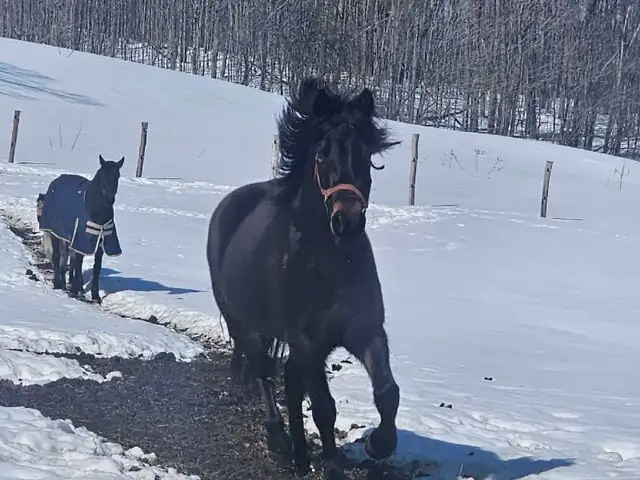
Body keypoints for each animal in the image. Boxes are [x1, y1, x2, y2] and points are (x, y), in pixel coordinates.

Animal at [37, 155, 124, 303]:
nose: (109, 198)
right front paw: (74, 291)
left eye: (117, 175)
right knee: (57, 257)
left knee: (65, 258)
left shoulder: (99, 243)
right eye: (102, 175)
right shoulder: (81, 240)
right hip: (54, 233)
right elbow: (77, 263)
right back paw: (58, 283)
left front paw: (95, 295)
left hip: (66, 238)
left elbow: (96, 268)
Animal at [206, 77, 402, 479]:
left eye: (366, 155)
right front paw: (332, 465)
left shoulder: (364, 328)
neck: (326, 261)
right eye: (322, 154)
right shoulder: (309, 343)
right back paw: (279, 442)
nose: (348, 223)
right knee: (264, 373)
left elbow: (387, 392)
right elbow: (325, 407)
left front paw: (379, 444)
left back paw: (297, 451)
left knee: (288, 381)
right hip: (245, 325)